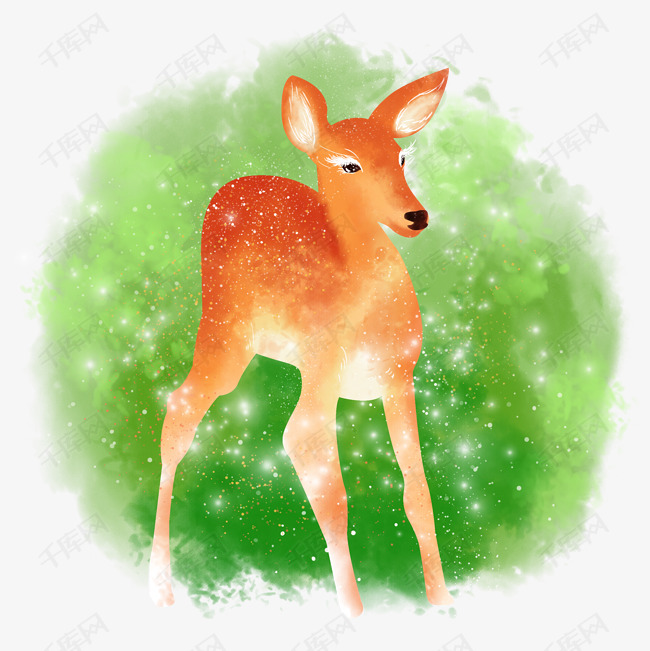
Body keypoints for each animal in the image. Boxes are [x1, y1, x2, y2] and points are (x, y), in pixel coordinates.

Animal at [149, 68, 453, 617]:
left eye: (401, 157)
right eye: (348, 164)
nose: (415, 217)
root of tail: (230, 186)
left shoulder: (399, 379)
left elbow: (417, 495)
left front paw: (441, 599)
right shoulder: (322, 370)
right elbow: (321, 476)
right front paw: (354, 612)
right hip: (225, 332)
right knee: (180, 408)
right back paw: (159, 588)